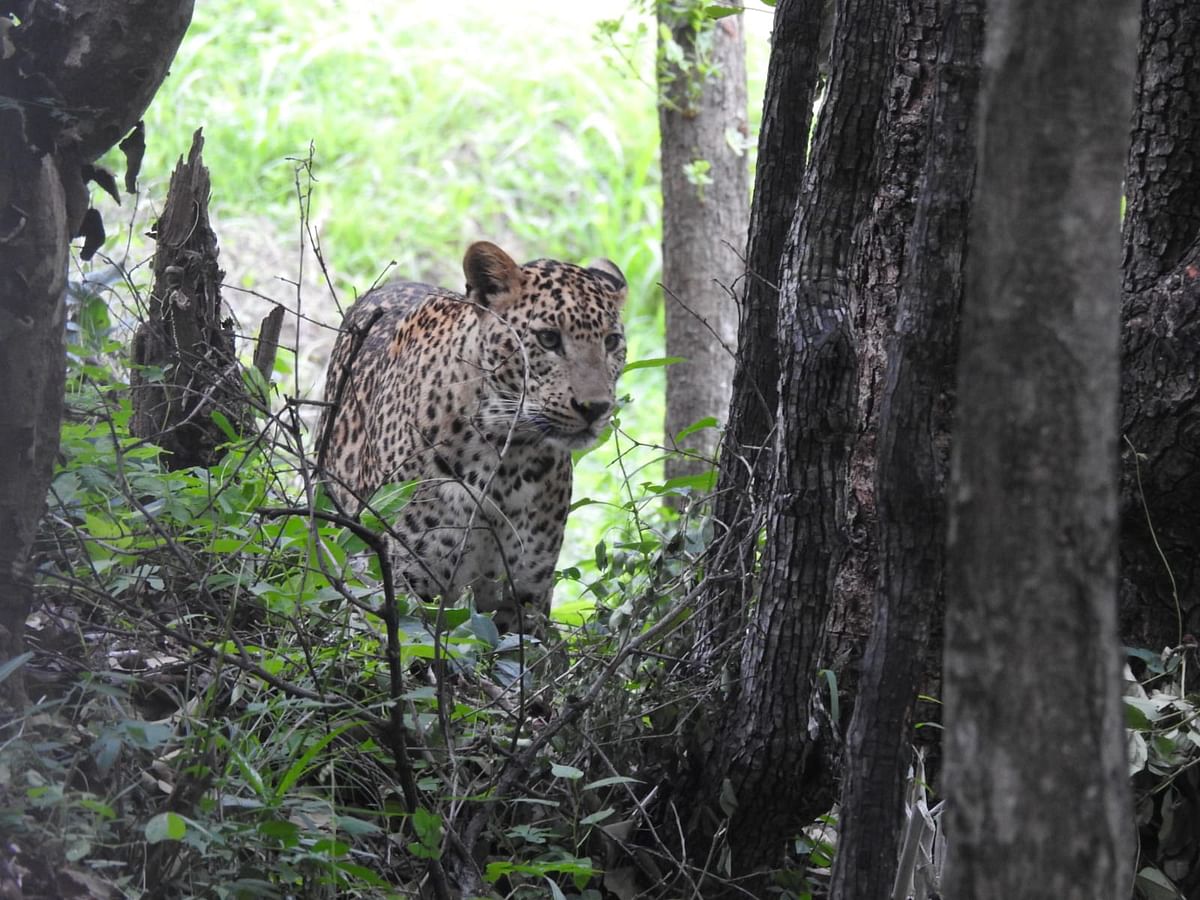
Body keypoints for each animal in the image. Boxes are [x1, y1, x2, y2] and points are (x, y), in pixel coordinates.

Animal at [316, 243, 628, 628]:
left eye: (612, 341)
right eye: (549, 338)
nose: (595, 408)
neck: (508, 457)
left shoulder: (525, 595)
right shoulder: (406, 585)